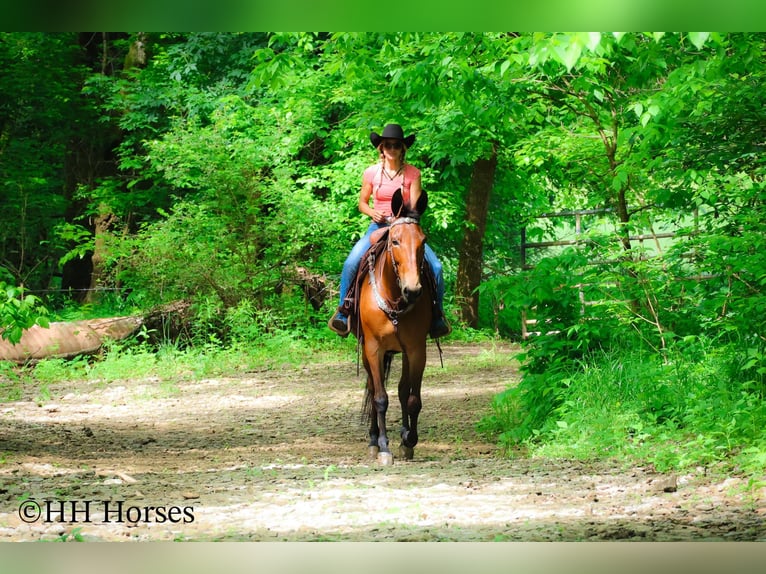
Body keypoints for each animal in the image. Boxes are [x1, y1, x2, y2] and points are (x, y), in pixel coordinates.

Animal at [356, 188, 432, 465]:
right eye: (396, 241)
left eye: (423, 241)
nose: (413, 290)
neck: (394, 298)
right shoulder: (374, 349)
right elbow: (379, 398)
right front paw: (383, 447)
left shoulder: (417, 350)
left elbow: (412, 399)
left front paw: (408, 440)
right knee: (372, 388)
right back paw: (372, 441)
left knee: (401, 391)